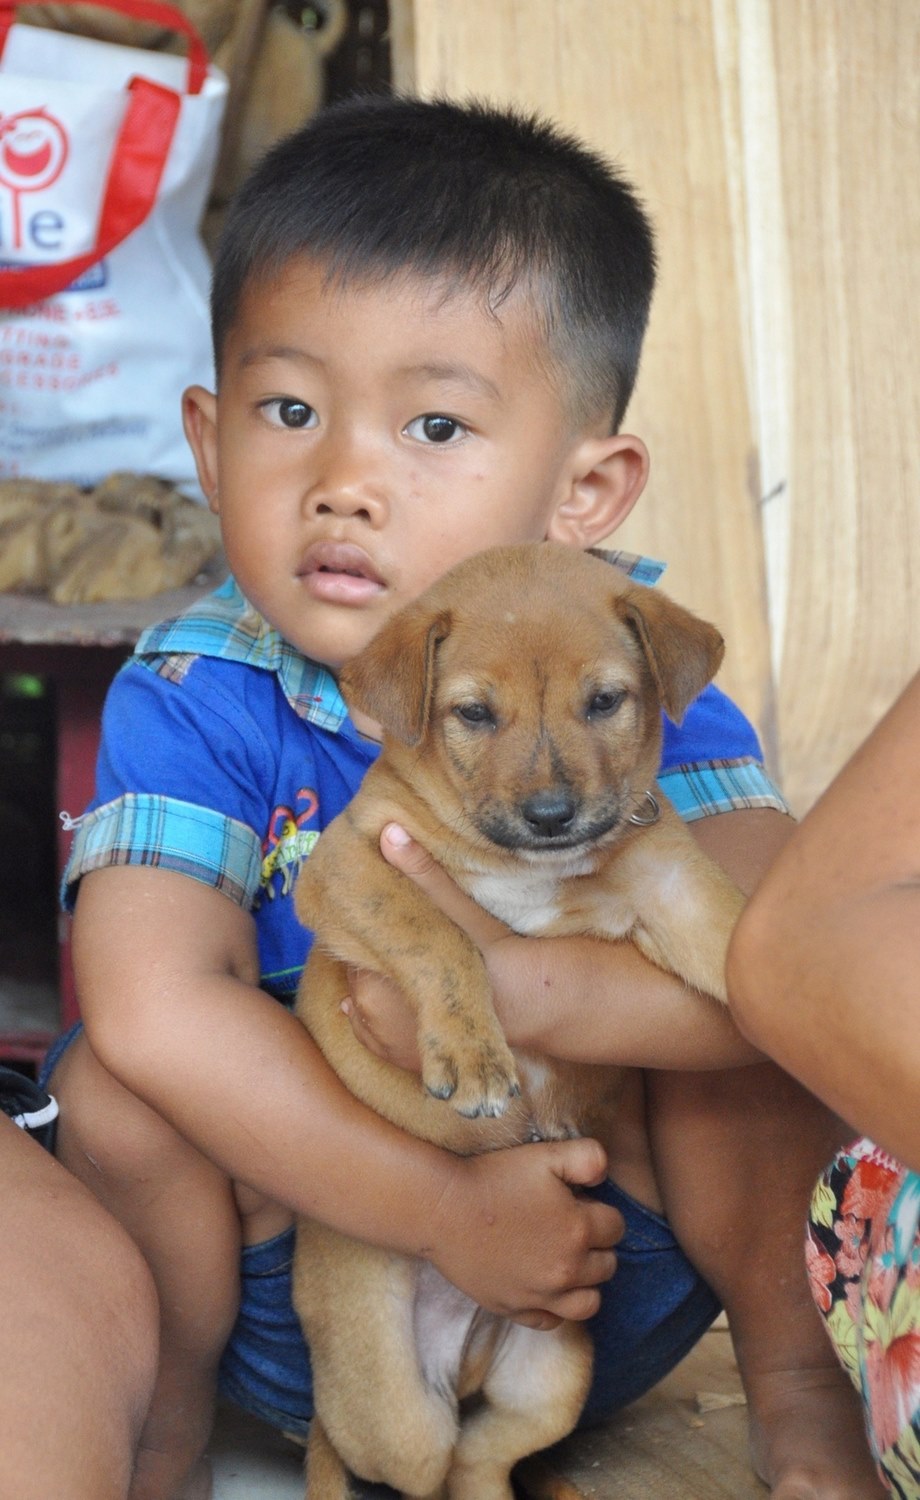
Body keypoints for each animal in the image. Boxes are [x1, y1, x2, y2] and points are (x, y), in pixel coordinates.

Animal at [294, 543, 747, 1500]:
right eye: (472, 713)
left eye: (605, 701)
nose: (550, 816)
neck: (529, 867)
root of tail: (467, 1349)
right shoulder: (352, 864)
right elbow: (440, 937)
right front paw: (473, 1057)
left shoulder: (673, 885)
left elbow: (738, 935)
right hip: (395, 1412)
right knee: (391, 1459)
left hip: (554, 1373)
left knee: (482, 1460)